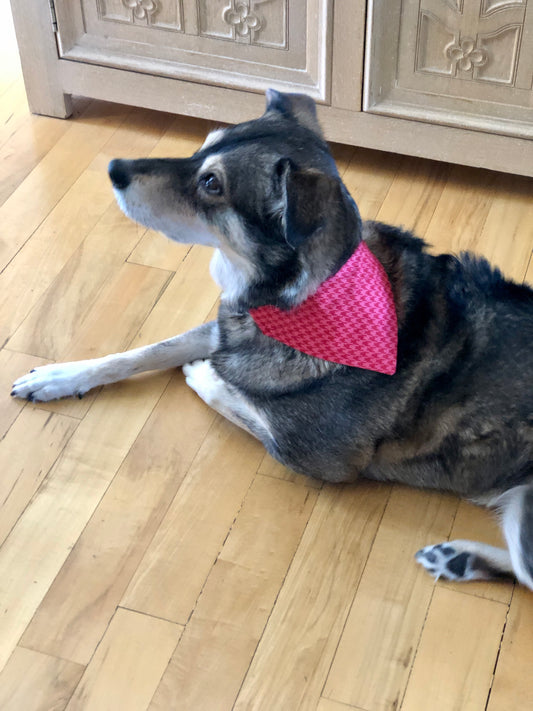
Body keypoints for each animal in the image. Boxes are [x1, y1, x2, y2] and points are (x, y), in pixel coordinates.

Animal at [11, 89, 532, 588]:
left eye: (212, 184)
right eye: (201, 147)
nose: (114, 168)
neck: (307, 301)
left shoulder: (315, 458)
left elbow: (236, 402)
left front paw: (204, 376)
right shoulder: (227, 329)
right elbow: (142, 352)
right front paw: (58, 377)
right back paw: (459, 559)